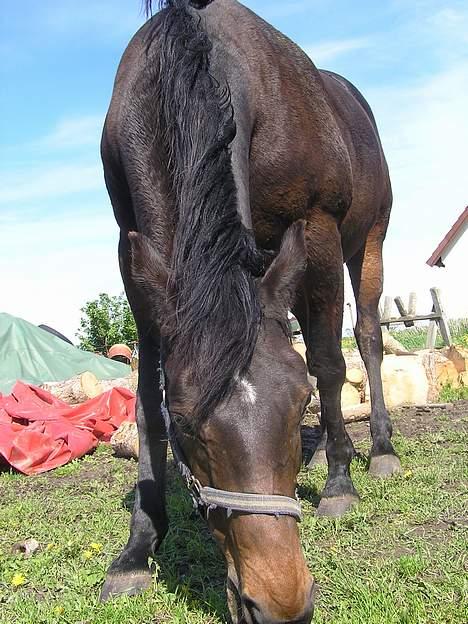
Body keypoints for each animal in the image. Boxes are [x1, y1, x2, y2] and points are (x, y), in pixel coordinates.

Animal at [100, 1, 400, 624]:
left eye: (297, 403)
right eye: (188, 426)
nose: (281, 603)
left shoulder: (317, 224)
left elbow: (328, 365)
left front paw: (339, 485)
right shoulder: (133, 251)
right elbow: (144, 405)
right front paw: (138, 550)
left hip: (367, 241)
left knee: (364, 337)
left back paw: (376, 450)